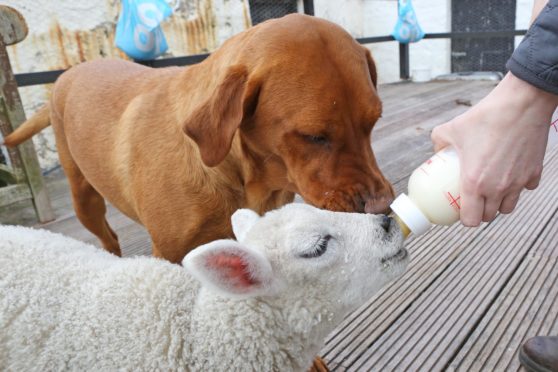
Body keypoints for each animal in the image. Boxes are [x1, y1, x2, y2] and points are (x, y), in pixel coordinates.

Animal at [6, 14, 396, 264]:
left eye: (373, 122)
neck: (244, 179)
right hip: (84, 199)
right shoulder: (169, 256)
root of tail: (69, 72)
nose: (383, 206)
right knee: (108, 237)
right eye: (314, 136)